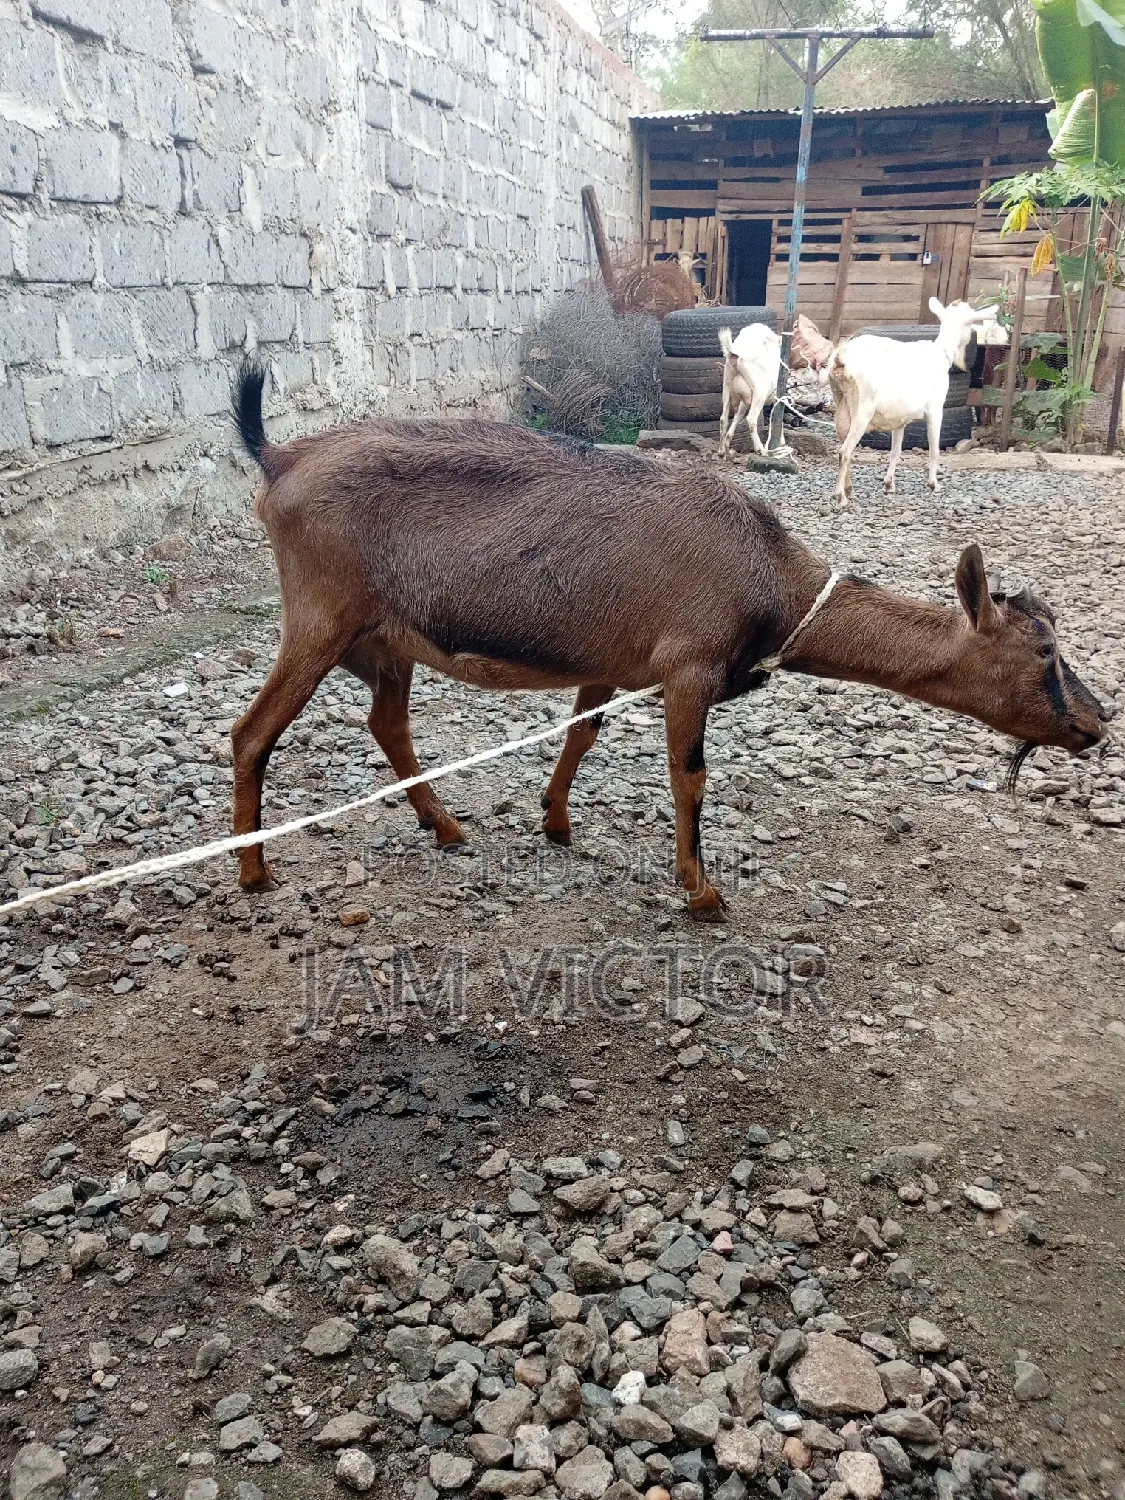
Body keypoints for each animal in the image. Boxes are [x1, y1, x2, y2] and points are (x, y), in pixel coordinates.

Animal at [230, 365, 1108, 916]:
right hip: (319, 619)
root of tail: (280, 458)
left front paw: (555, 823)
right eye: (1043, 652)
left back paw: (442, 827)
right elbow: (689, 777)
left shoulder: (612, 662)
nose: (1093, 724)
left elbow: (582, 735)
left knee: (386, 722)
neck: (769, 573)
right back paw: (252, 868)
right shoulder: (689, 669)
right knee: (251, 734)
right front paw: (701, 891)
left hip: (385, 642)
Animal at [718, 323, 782, 457]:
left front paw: (728, 440)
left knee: (723, 418)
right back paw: (761, 449)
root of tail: (735, 352)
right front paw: (781, 443)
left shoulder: (745, 400)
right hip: (760, 390)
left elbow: (738, 416)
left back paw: (721, 450)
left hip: (726, 385)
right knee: (751, 419)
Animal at [826, 297, 998, 505]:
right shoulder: (935, 410)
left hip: (841, 403)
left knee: (844, 447)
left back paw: (850, 489)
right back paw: (841, 496)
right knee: (845, 451)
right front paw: (934, 484)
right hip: (862, 410)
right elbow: (934, 449)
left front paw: (889, 485)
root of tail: (841, 359)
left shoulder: (899, 419)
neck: (941, 352)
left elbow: (896, 451)